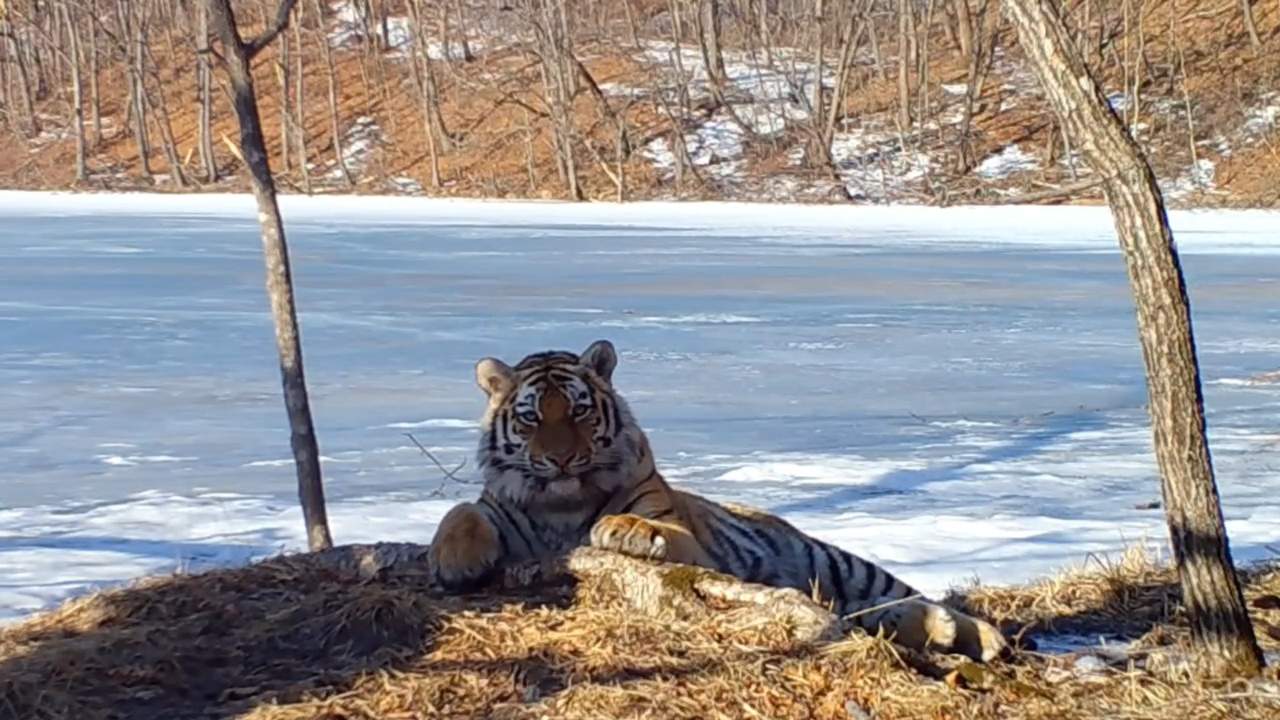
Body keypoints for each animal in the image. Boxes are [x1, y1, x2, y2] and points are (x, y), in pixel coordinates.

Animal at [430, 338, 1008, 661]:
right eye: (532, 417)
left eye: (579, 411)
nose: (562, 460)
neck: (562, 503)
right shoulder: (498, 507)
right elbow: (461, 512)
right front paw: (454, 560)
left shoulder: (686, 537)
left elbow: (653, 527)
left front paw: (624, 529)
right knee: (883, 613)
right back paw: (942, 633)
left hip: (839, 564)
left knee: (909, 596)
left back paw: (977, 635)